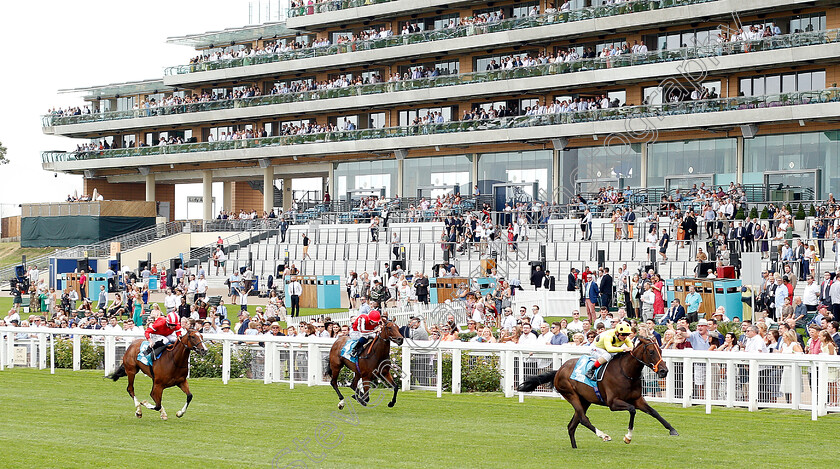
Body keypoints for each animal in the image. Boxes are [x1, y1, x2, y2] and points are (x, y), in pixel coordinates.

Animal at [520, 336, 676, 446]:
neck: (626, 372)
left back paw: (575, 447)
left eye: (661, 351)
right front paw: (628, 437)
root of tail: (559, 370)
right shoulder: (613, 403)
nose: (664, 371)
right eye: (651, 352)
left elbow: (654, 412)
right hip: (571, 394)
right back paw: (604, 435)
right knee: (583, 419)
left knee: (572, 425)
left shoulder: (638, 399)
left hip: (585, 400)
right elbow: (632, 410)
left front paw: (672, 429)